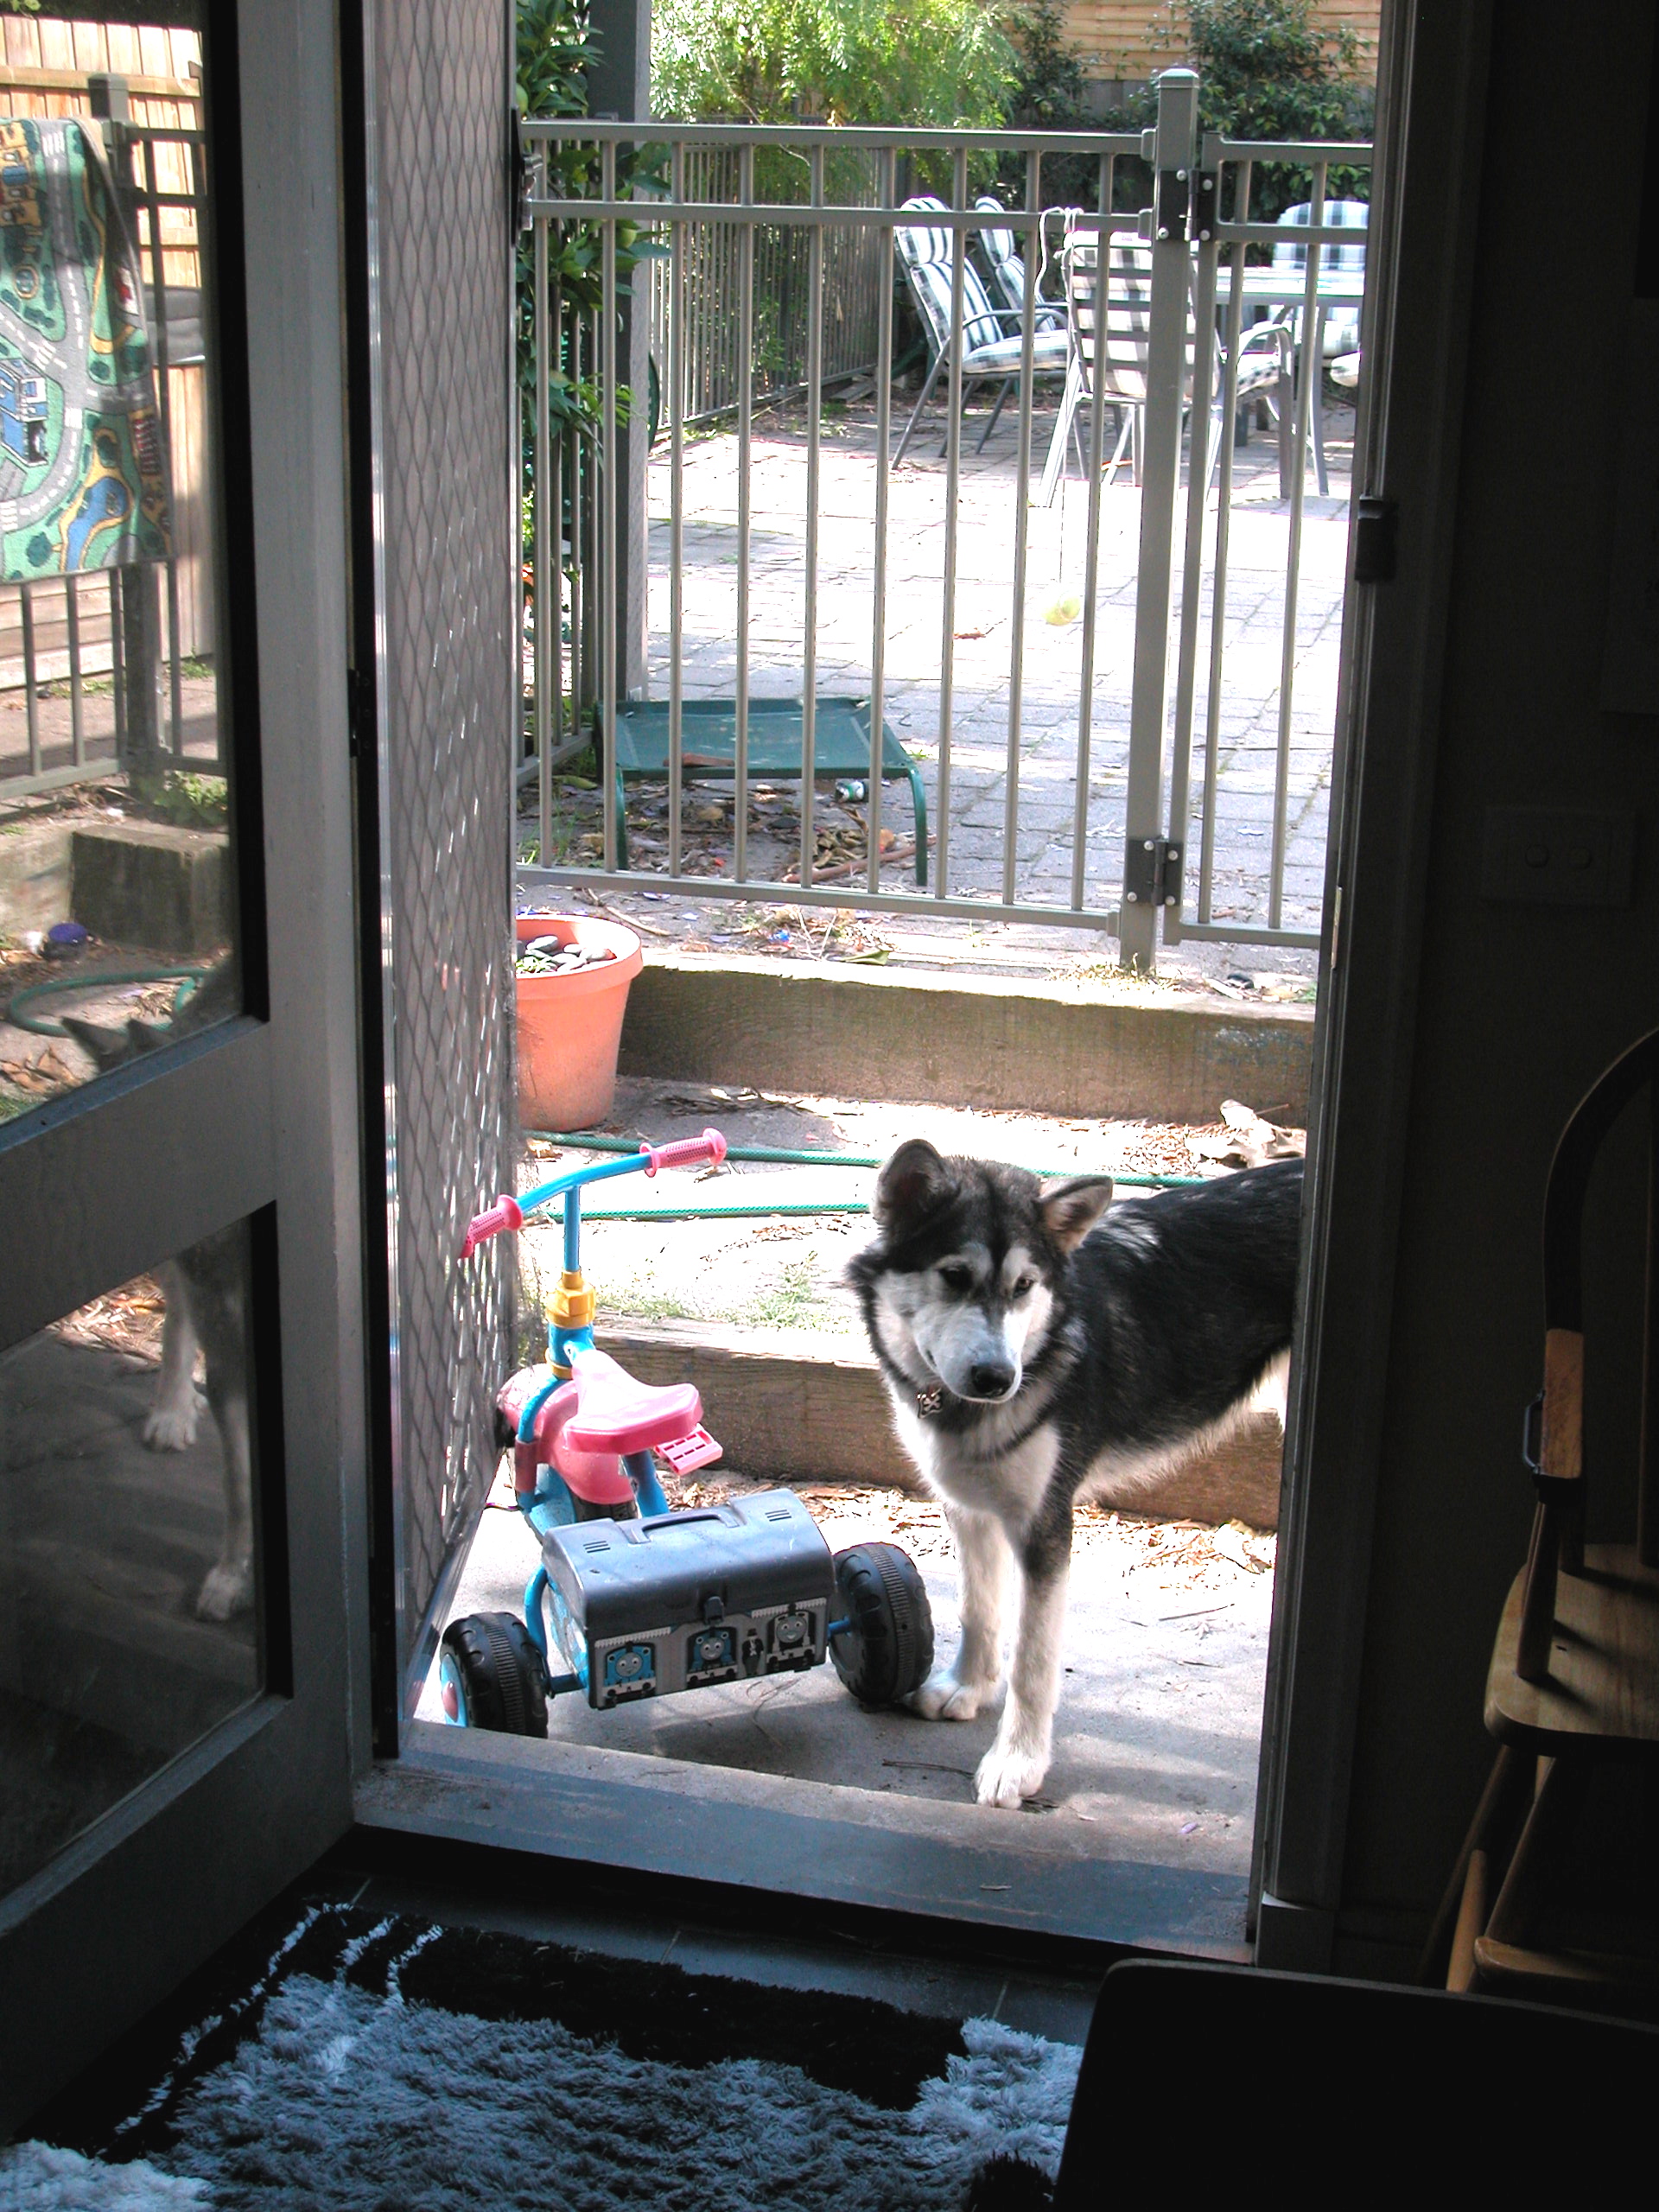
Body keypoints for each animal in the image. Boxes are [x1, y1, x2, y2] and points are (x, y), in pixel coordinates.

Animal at [849, 1150, 1309, 1804]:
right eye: (954, 1276)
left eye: (1024, 1287)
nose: (997, 1379)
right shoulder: (968, 1509)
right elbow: (977, 1608)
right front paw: (968, 1686)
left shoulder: (1046, 1528)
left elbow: (1032, 1663)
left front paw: (1017, 1763)